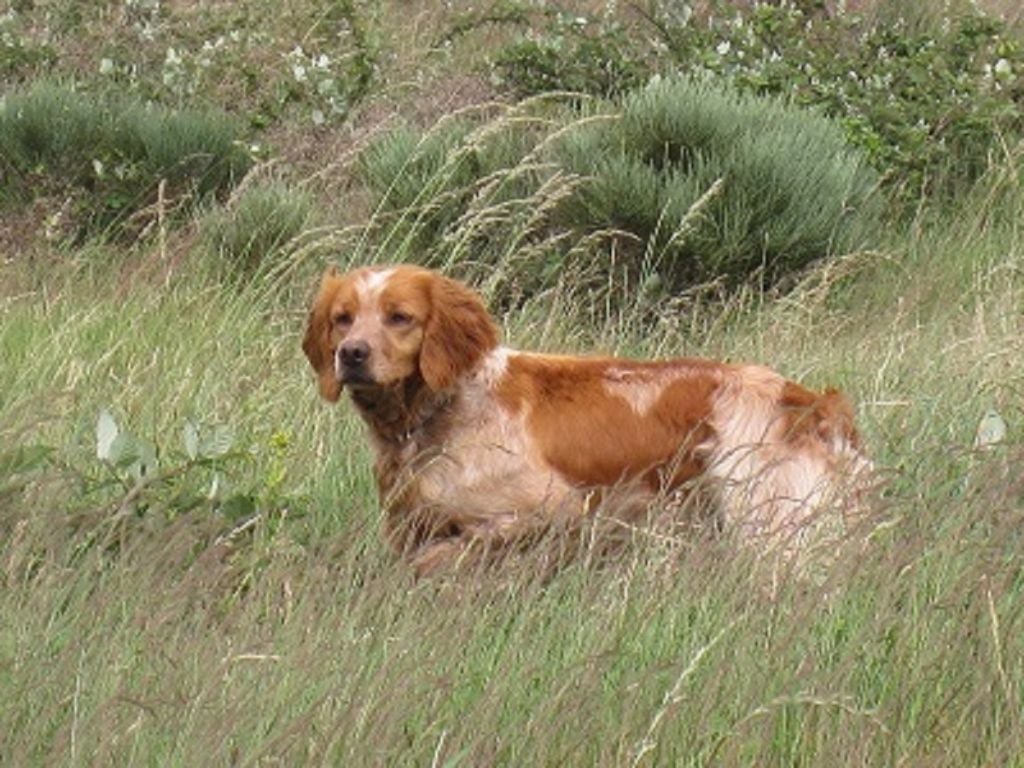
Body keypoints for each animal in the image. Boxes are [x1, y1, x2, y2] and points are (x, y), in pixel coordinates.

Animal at [303, 266, 872, 577]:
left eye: (400, 317)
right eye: (342, 319)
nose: (352, 355)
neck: (443, 407)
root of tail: (807, 401)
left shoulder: (551, 511)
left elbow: (451, 555)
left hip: (773, 530)